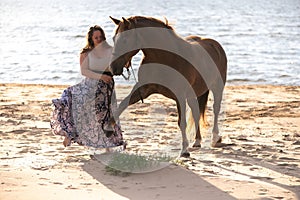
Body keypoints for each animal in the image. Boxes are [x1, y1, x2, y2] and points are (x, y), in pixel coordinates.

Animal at [109, 16, 226, 156]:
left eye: (125, 39)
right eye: (114, 39)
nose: (113, 67)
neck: (164, 58)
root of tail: (215, 45)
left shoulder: (180, 95)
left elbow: (182, 122)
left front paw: (184, 150)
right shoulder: (143, 89)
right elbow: (121, 107)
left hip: (217, 88)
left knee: (215, 109)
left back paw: (215, 138)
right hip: (192, 95)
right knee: (196, 112)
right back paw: (197, 141)